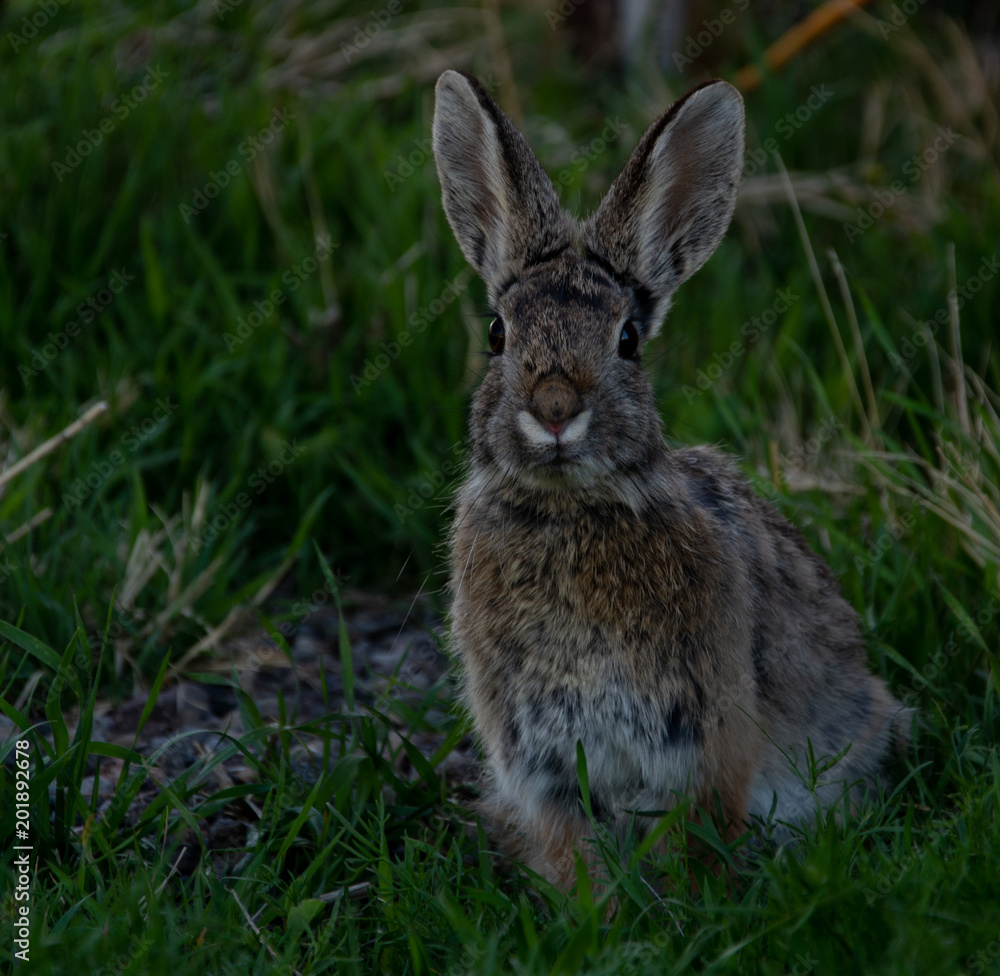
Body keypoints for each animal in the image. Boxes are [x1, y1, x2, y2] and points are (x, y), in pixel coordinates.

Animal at [432, 70, 910, 889]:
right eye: (497, 334)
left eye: (627, 340)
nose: (554, 410)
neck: (569, 510)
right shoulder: (542, 767)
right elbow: (575, 856)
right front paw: (594, 908)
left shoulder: (702, 741)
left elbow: (696, 840)